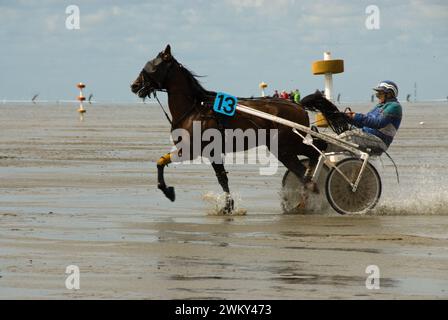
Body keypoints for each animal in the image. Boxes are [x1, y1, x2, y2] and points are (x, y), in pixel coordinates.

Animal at [130, 45, 346, 214]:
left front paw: (169, 191)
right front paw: (227, 206)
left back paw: (312, 185)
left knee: (316, 151)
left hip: (285, 146)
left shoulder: (194, 150)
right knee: (311, 155)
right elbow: (220, 178)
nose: (134, 85)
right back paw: (307, 188)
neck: (194, 109)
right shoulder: (207, 151)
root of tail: (297, 104)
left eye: (153, 66)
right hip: (286, 147)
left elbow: (162, 163)